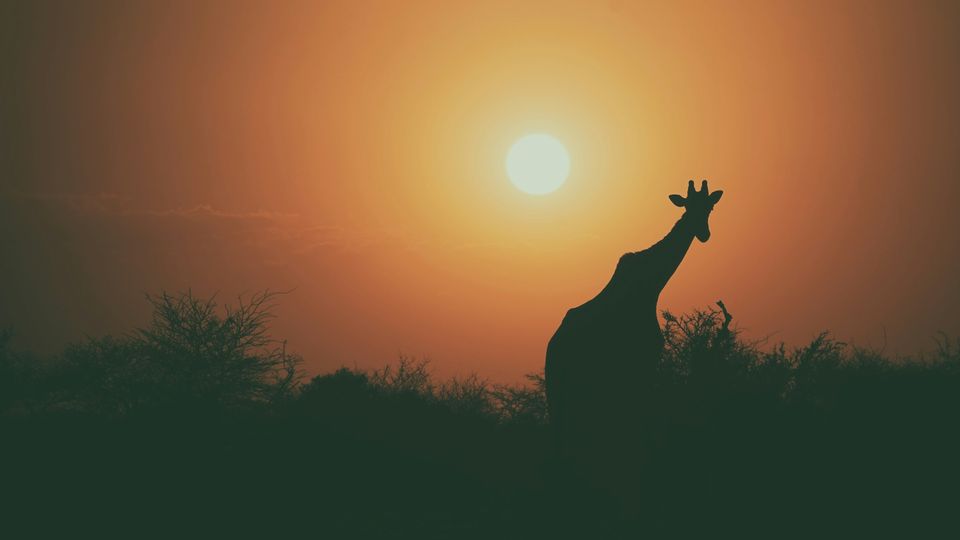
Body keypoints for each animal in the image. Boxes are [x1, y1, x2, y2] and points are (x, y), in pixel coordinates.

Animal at [544, 179, 723, 513]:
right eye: (687, 206)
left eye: (710, 207)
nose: (703, 234)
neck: (652, 286)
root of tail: (553, 347)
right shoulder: (644, 362)